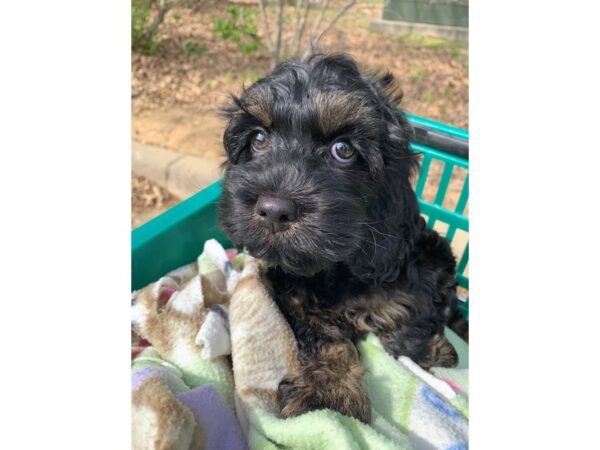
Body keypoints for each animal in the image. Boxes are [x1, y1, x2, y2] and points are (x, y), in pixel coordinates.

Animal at [218, 54, 458, 424]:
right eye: (258, 139)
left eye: (342, 150)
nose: (273, 210)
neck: (337, 268)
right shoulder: (293, 294)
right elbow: (324, 335)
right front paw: (331, 390)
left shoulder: (425, 266)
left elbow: (411, 320)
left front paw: (427, 351)